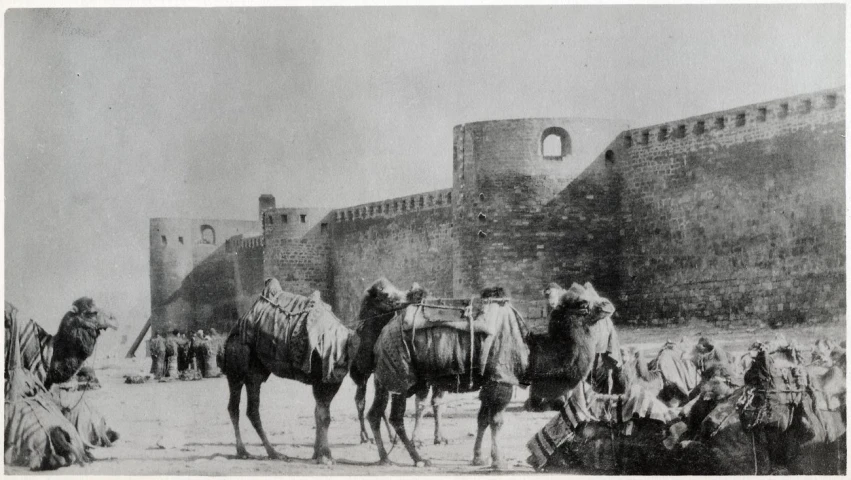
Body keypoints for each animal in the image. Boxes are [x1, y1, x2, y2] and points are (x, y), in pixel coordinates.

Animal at [221, 280, 358, 464]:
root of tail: (231, 334)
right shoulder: (325, 380)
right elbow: (324, 416)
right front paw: (325, 456)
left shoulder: (327, 381)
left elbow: (319, 413)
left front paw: (318, 454)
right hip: (236, 369)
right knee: (235, 407)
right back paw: (247, 452)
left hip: (255, 374)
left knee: (251, 409)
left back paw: (271, 452)